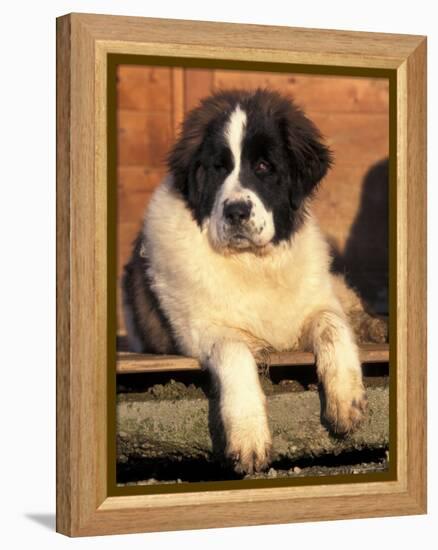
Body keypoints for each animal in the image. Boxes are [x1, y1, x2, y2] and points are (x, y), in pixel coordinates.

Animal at [121, 89, 368, 474]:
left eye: (264, 167)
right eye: (218, 168)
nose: (236, 211)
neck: (254, 264)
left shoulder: (315, 305)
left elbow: (332, 325)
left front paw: (346, 400)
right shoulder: (200, 330)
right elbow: (235, 350)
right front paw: (249, 437)